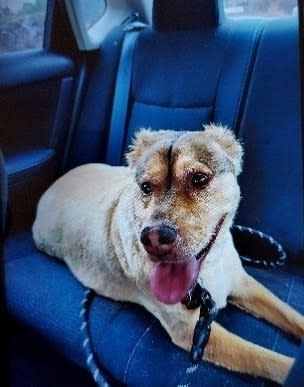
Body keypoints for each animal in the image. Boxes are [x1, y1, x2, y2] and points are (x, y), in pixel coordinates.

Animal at [32, 125, 304, 384]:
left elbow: (289, 315)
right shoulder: (191, 331)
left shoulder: (244, 283)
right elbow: (265, 360)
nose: (154, 239)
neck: (209, 271)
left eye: (199, 179)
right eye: (145, 187)